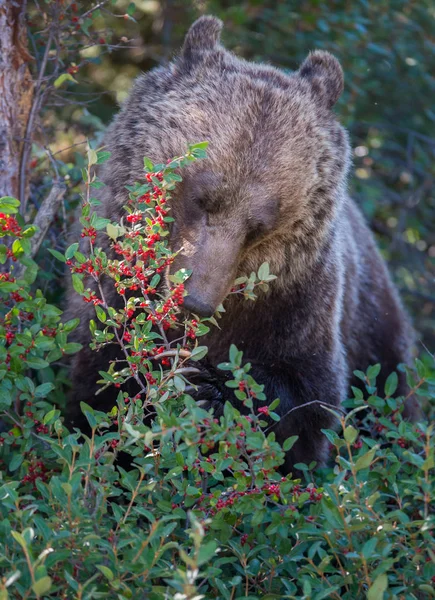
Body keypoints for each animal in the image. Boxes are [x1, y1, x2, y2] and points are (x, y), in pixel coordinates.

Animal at [63, 15, 418, 474]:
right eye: (201, 198)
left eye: (258, 225)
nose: (196, 301)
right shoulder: (108, 291)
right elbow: (100, 386)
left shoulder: (297, 301)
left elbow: (308, 406)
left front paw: (212, 390)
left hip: (379, 326)